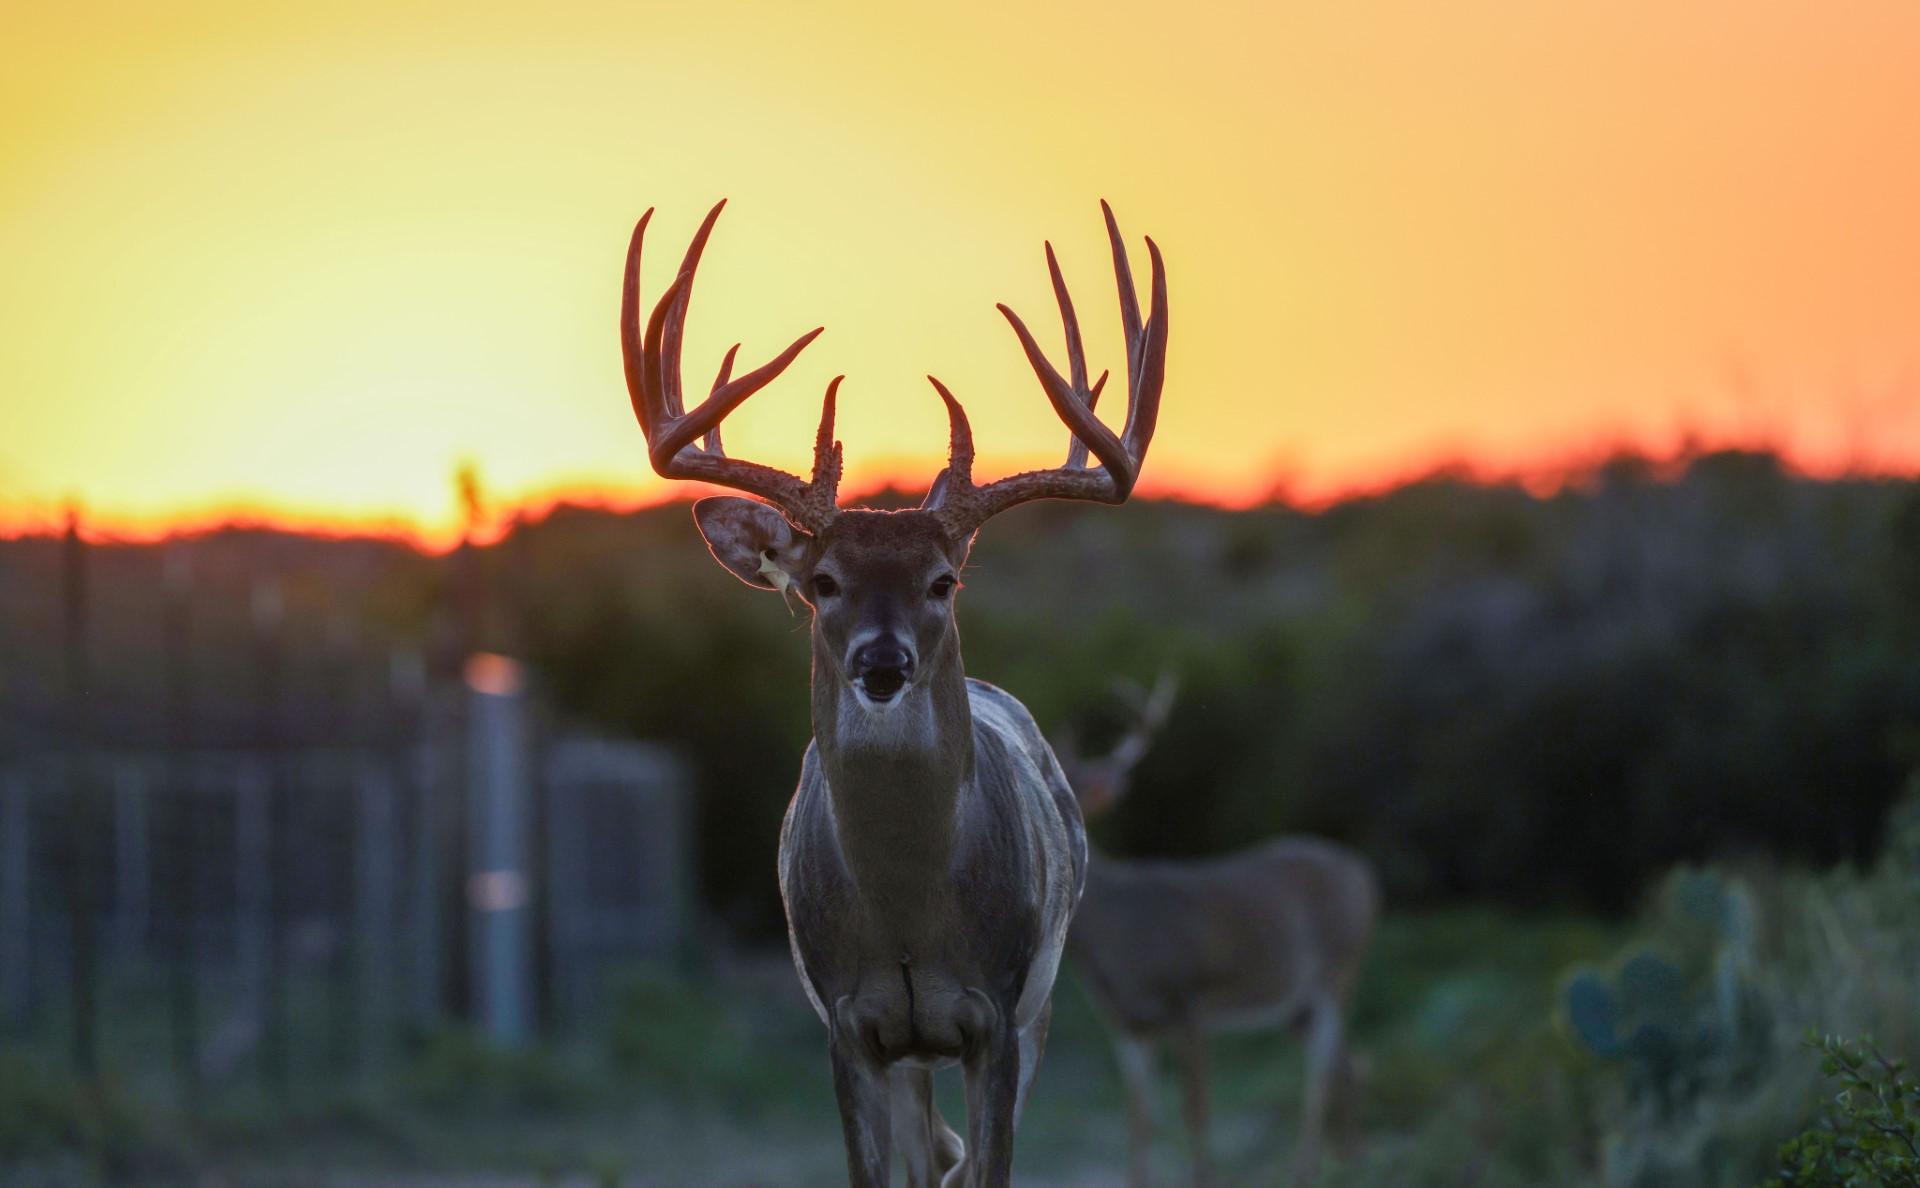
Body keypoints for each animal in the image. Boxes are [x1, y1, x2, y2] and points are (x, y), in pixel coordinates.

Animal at [617, 199, 1168, 1187]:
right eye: (822, 581)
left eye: (944, 580)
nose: (883, 661)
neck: (909, 917)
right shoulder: (848, 1027)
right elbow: (885, 1169)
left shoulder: (1000, 1015)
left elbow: (986, 1167)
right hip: (912, 1051)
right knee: (928, 1154)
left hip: (1036, 1008)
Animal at [1054, 674, 1380, 1188]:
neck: (1116, 944)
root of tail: (1365, 873)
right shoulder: (1126, 1023)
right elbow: (1138, 1119)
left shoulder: (1188, 998)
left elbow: (1195, 1108)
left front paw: (1205, 1177)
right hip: (1296, 1002)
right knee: (1351, 1064)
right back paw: (1351, 1159)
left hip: (1342, 965)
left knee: (1325, 1066)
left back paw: (1308, 1166)